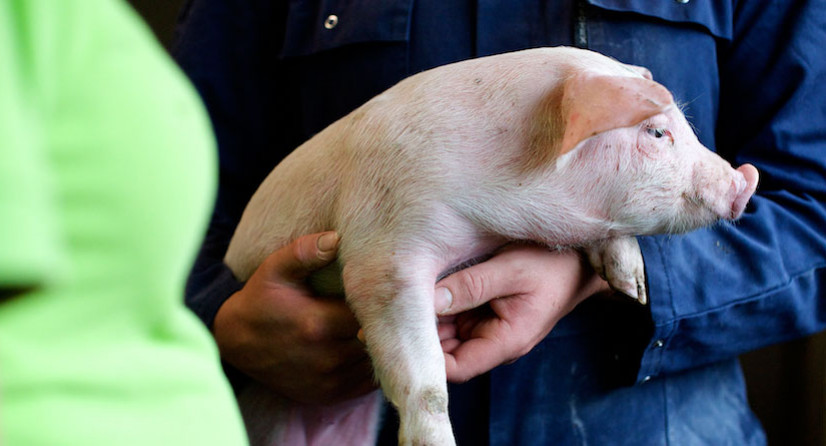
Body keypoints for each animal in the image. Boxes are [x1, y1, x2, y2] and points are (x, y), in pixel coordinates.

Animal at [222, 48, 756, 446]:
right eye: (656, 131)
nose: (745, 179)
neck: (494, 210)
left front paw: (633, 288)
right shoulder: (382, 247)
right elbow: (425, 380)